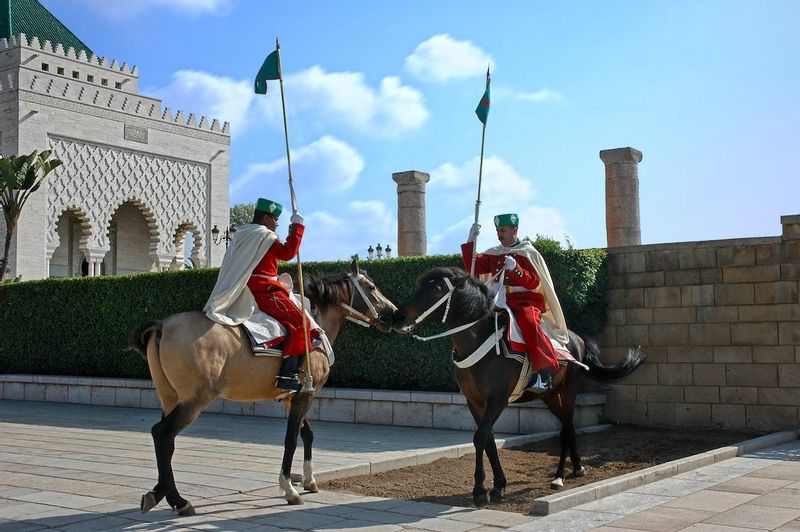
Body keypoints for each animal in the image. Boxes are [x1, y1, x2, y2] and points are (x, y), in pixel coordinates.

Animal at [127, 260, 396, 516]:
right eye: (372, 287)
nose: (393, 313)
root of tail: (163, 325)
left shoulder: (295, 397)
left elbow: (307, 434)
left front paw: (309, 480)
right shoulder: (305, 396)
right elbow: (291, 439)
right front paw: (289, 489)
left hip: (170, 397)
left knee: (167, 441)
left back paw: (163, 493)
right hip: (194, 400)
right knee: (162, 434)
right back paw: (178, 499)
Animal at [390, 266, 648, 508]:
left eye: (437, 289)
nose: (397, 317)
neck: (477, 342)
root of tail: (576, 338)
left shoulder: (498, 399)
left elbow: (480, 437)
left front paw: (480, 491)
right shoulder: (474, 401)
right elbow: (489, 439)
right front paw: (498, 486)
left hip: (568, 391)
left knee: (565, 429)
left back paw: (559, 476)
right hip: (550, 396)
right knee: (570, 426)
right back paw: (577, 467)